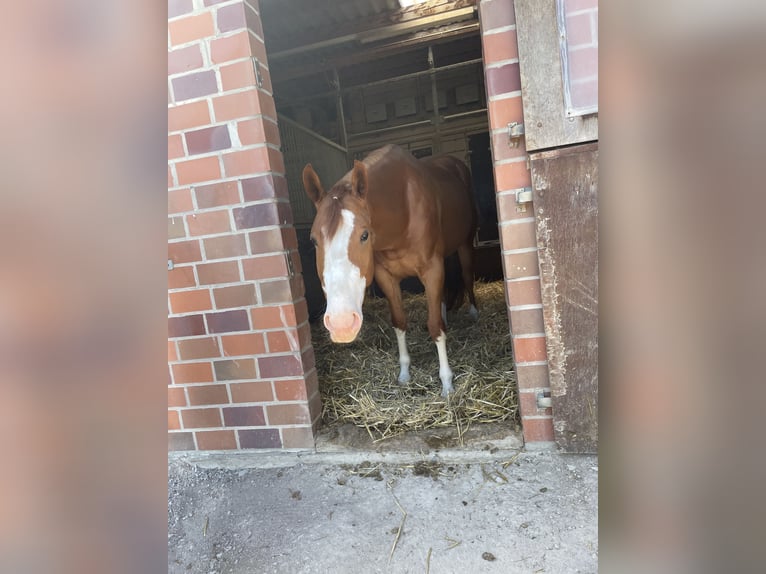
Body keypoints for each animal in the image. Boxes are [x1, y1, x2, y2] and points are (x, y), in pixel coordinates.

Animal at [302, 144, 478, 396]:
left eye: (364, 235)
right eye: (313, 240)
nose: (342, 324)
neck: (403, 206)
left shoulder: (432, 269)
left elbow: (434, 326)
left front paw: (446, 383)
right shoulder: (386, 277)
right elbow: (399, 322)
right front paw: (404, 373)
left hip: (465, 244)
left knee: (466, 274)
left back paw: (473, 312)